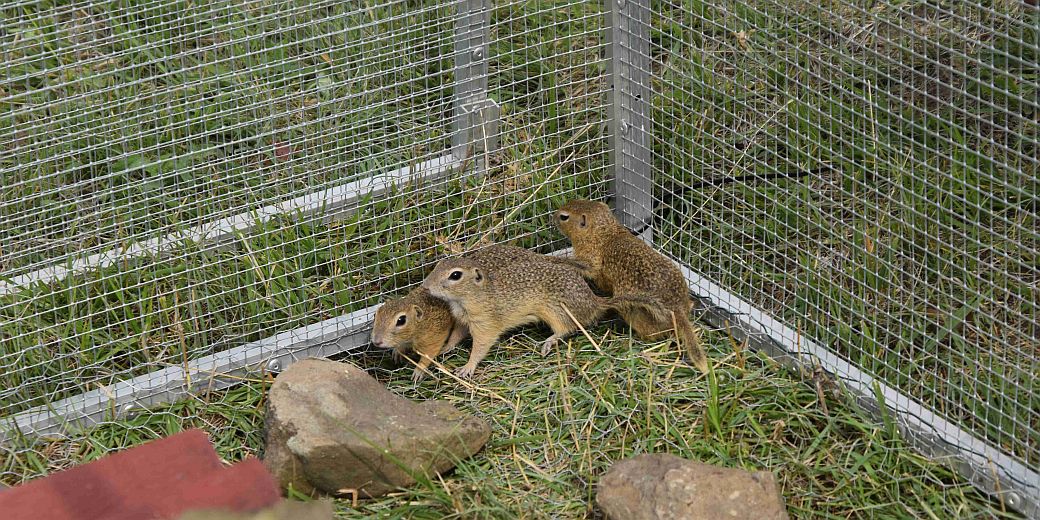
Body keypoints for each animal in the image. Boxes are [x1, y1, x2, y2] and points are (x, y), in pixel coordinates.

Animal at [422, 243, 665, 378]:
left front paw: (467, 367)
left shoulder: (485, 325)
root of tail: (594, 301)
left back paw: (549, 342)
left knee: (568, 329)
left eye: (455, 275)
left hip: (556, 312)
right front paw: (444, 348)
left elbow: (480, 347)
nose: (425, 286)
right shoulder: (464, 320)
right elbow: (456, 335)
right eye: (437, 266)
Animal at [557, 196, 711, 372]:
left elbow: (587, 268)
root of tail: (677, 308)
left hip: (633, 312)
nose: (553, 216)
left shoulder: (591, 259)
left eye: (564, 217)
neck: (606, 232)